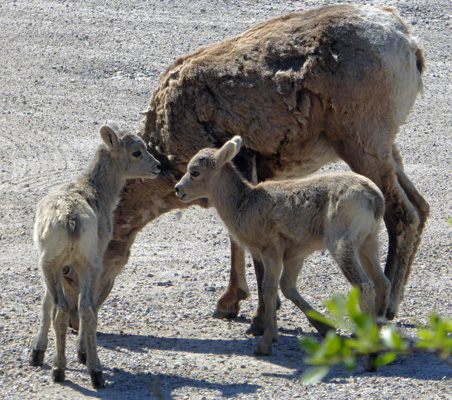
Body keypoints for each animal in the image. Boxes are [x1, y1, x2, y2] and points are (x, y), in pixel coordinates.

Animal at [28, 124, 161, 388]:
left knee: (68, 308)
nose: (158, 167)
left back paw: (65, 369)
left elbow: (47, 303)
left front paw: (38, 354)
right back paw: (89, 371)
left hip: (60, 263)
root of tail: (70, 218)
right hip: (84, 264)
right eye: (137, 152)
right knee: (82, 309)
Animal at [65, 5, 430, 332]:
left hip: (361, 143)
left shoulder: (240, 164)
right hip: (385, 148)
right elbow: (237, 239)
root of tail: (407, 42)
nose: (71, 321)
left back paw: (387, 307)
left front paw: (254, 317)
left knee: (403, 215)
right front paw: (231, 303)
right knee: (421, 206)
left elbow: (248, 244)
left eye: (69, 272)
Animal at [175, 136, 390, 360]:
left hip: (341, 244)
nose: (178, 189)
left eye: (195, 172)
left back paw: (365, 343)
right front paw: (325, 328)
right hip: (368, 243)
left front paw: (265, 344)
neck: (243, 205)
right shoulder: (295, 256)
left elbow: (268, 289)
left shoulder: (271, 250)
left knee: (365, 285)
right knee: (382, 282)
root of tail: (375, 198)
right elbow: (287, 287)